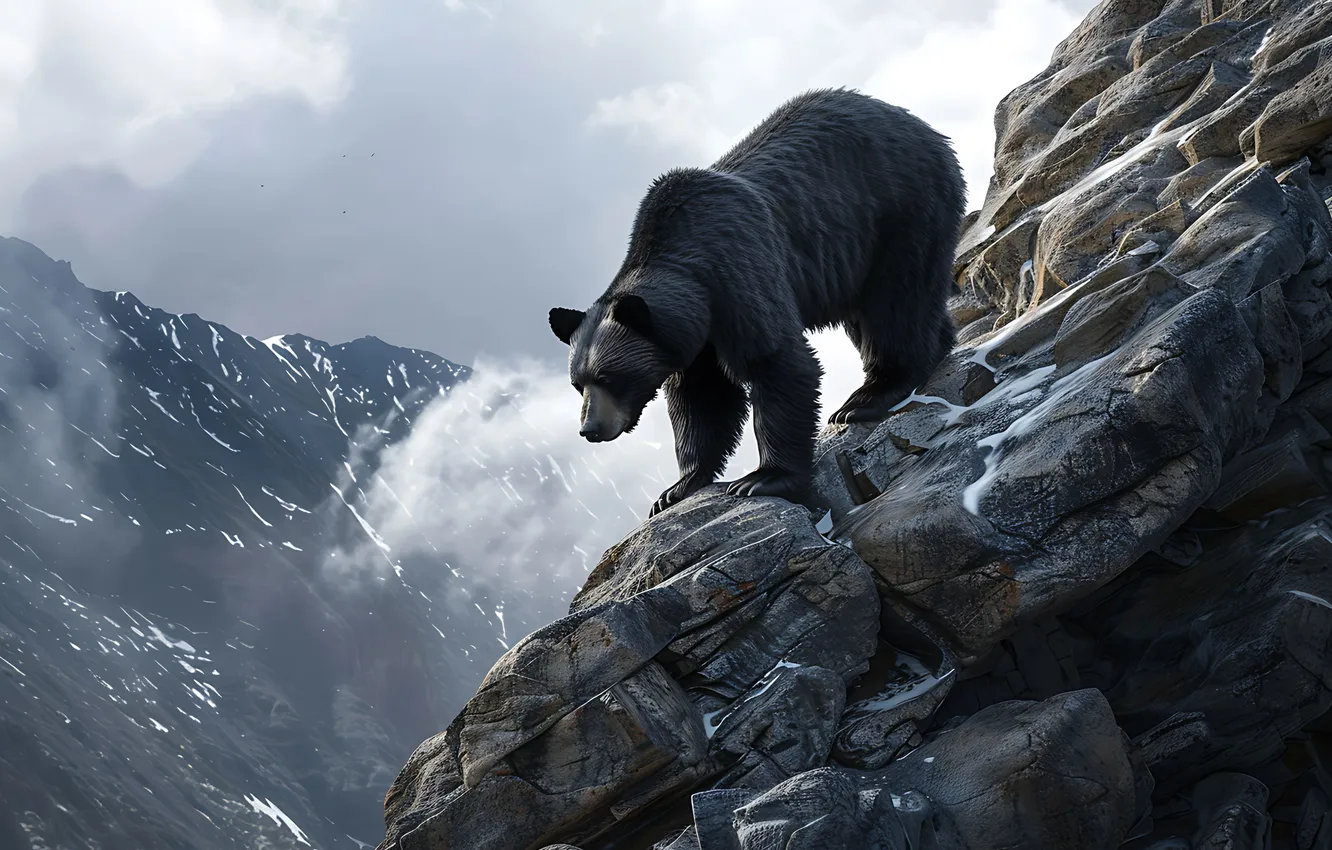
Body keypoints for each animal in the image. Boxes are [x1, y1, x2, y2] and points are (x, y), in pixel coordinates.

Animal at [549, 87, 966, 517]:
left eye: (609, 378)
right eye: (577, 384)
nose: (589, 429)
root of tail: (919, 123)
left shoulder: (738, 272)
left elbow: (776, 362)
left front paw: (762, 478)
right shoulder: (697, 339)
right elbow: (701, 397)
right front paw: (676, 489)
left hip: (899, 207)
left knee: (895, 300)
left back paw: (870, 395)